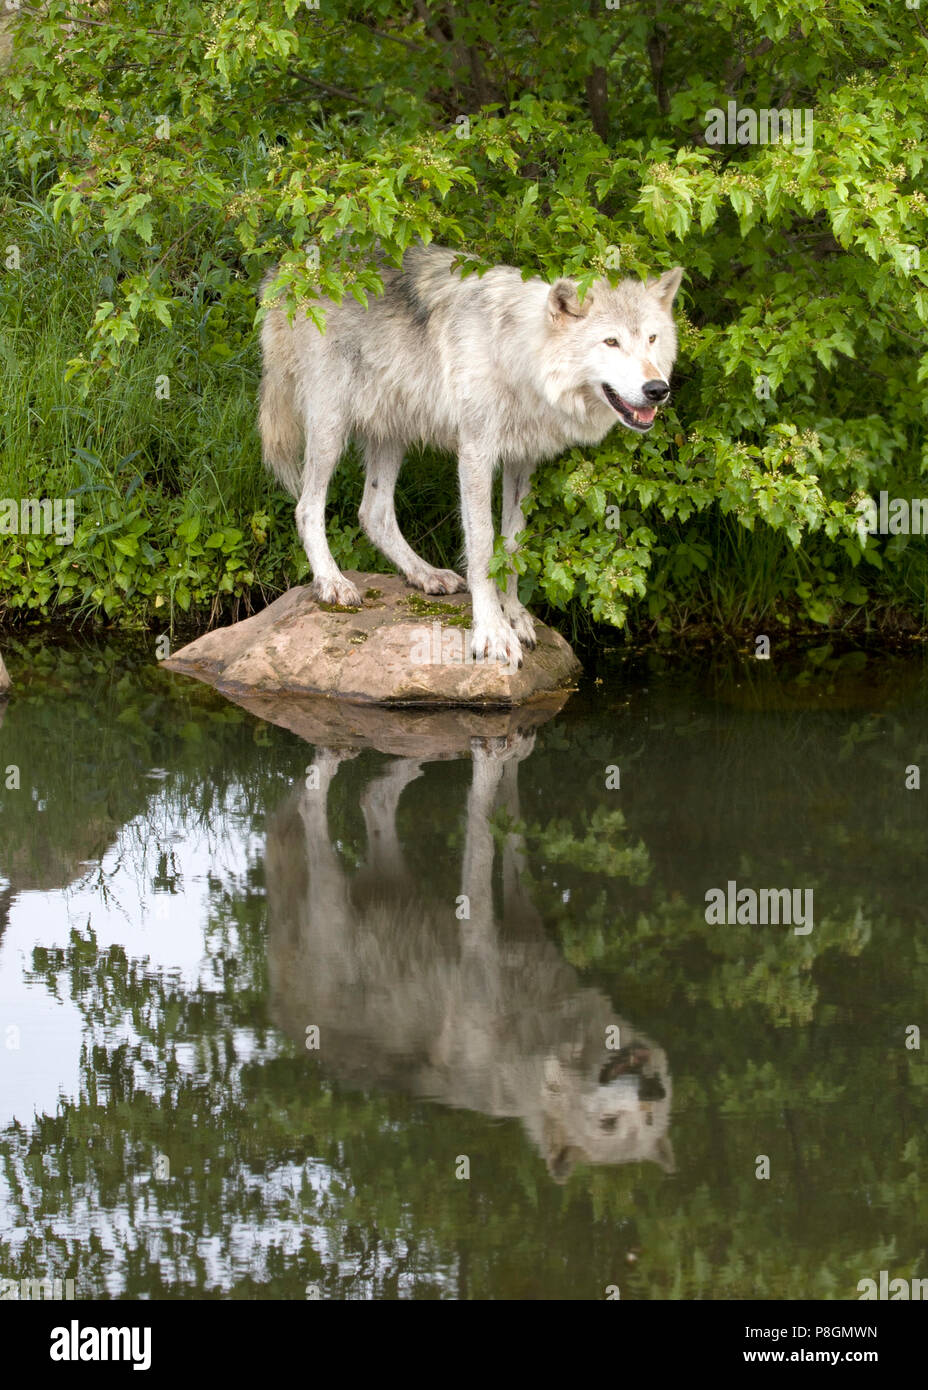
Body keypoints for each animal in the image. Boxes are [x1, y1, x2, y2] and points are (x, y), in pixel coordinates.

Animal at [257, 243, 686, 661]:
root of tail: (290, 265)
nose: (657, 389)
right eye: (611, 342)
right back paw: (332, 581)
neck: (515, 355)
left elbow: (512, 546)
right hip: (330, 427)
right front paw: (492, 632)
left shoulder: (521, 461)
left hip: (393, 432)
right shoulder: (476, 454)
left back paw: (425, 575)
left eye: (651, 339)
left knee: (373, 513)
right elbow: (481, 544)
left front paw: (515, 615)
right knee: (307, 507)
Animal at [263, 739, 669, 1184]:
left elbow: (515, 840)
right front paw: (493, 765)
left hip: (396, 891)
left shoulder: (524, 928)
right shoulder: (479, 936)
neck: (541, 1038)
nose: (654, 1090)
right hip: (334, 908)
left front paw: (514, 754)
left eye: (652, 1117)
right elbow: (485, 832)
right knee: (312, 804)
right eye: (608, 1124)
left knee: (374, 795)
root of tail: (279, 1007)